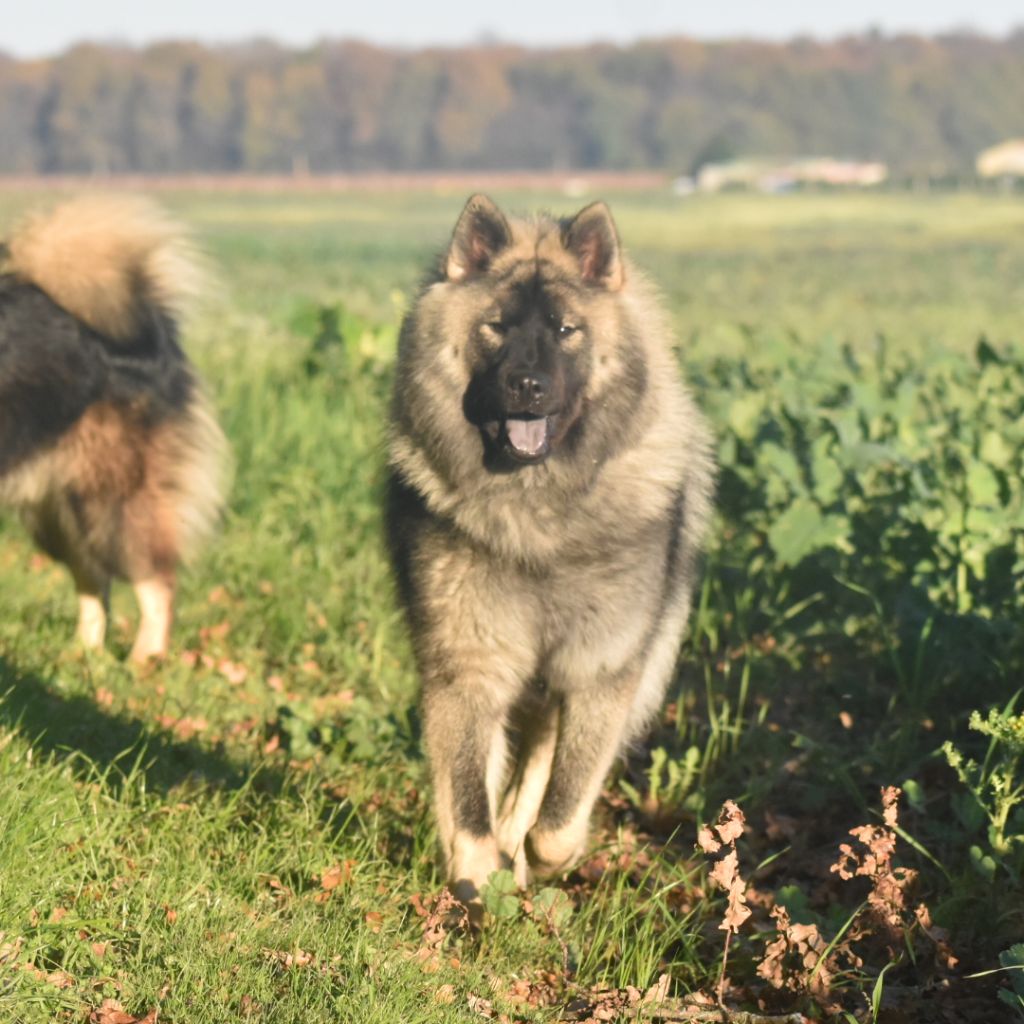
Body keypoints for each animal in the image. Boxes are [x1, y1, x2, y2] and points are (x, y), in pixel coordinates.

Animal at [0, 197, 228, 663]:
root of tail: (152, 338)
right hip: (60, 511)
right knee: (95, 580)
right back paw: (82, 656)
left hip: (112, 501)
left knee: (157, 581)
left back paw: (143, 662)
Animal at [387, 192, 716, 905]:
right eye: (497, 328)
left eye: (567, 330)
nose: (529, 385)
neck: (537, 510)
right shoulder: (469, 666)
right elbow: (467, 800)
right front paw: (478, 881)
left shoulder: (600, 668)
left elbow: (561, 816)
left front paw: (535, 859)